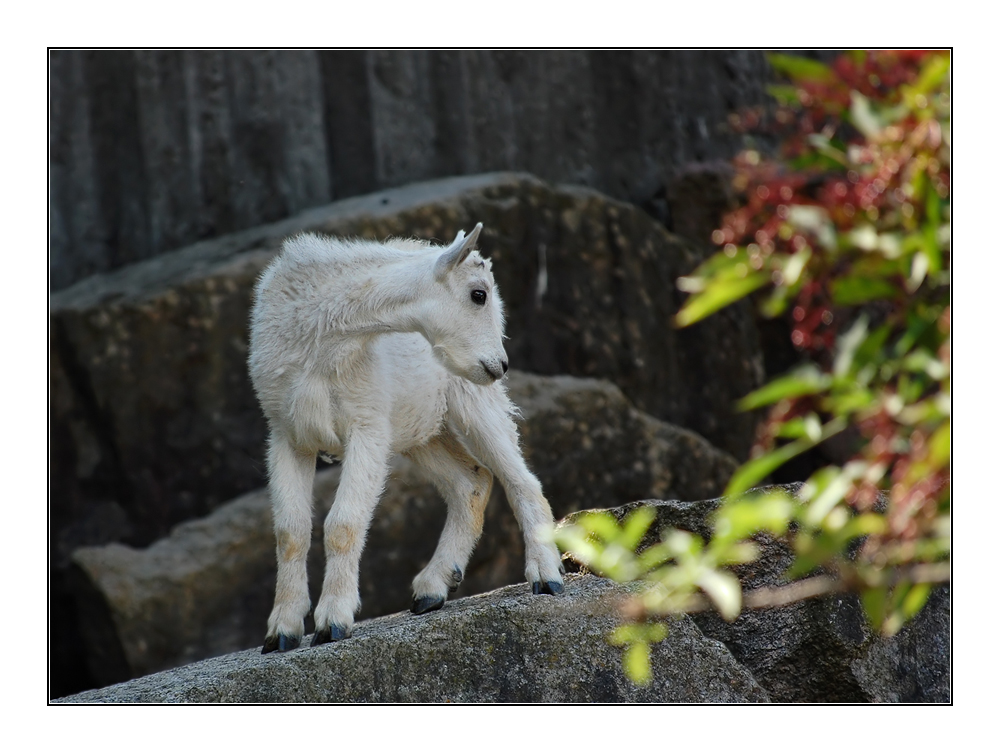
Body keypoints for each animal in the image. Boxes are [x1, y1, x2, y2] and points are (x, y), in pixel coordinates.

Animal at [247, 220, 568, 648]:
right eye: (478, 294)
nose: (499, 364)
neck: (323, 338)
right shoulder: (287, 433)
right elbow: (290, 532)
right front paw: (281, 632)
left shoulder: (366, 425)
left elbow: (343, 524)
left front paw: (332, 623)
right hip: (421, 428)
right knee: (472, 482)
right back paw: (432, 589)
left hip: (472, 401)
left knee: (521, 480)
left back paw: (546, 577)